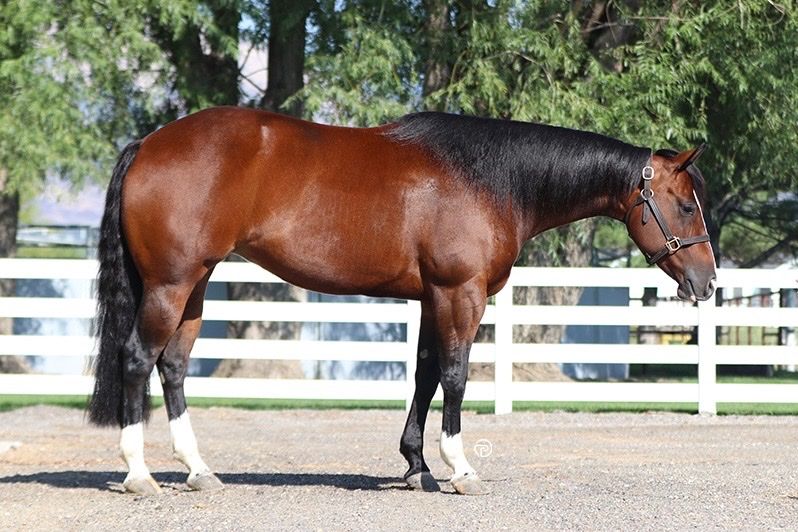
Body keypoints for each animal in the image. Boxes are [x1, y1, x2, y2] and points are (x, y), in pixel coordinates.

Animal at [87, 107, 716, 496]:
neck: (490, 179)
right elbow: (457, 377)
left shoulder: (431, 298)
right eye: (686, 206)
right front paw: (459, 468)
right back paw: (138, 474)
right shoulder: (460, 294)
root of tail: (150, 143)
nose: (707, 283)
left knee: (173, 365)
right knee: (138, 359)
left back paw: (198, 470)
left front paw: (416, 466)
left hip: (194, 285)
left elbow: (425, 374)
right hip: (170, 283)